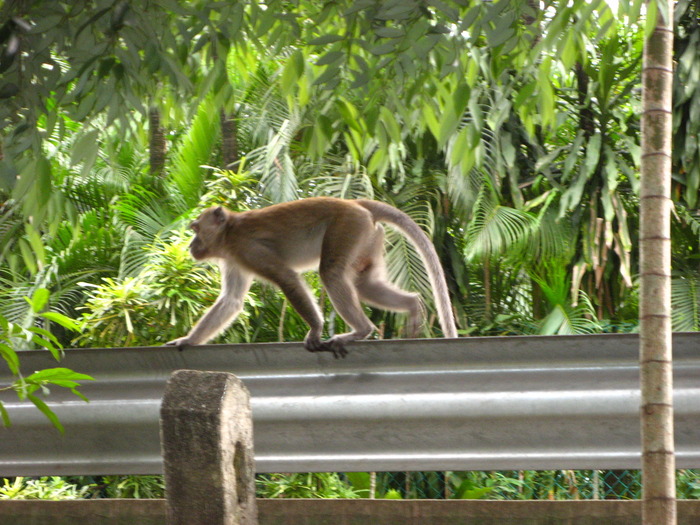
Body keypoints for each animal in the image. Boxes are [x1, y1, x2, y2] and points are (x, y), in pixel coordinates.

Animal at [166, 196, 456, 356]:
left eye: (195, 229)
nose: (191, 245)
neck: (228, 233)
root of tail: (354, 203)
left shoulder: (248, 249)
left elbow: (287, 278)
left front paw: (315, 330)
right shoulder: (234, 258)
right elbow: (232, 301)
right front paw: (188, 340)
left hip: (347, 226)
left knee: (331, 273)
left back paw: (360, 330)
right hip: (368, 235)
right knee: (365, 283)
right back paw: (412, 307)